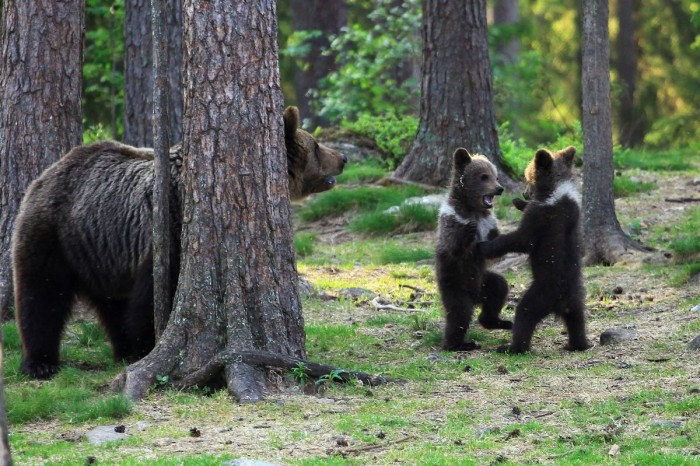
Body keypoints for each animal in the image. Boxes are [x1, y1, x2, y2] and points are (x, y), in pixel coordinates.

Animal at [12, 105, 346, 378]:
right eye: (317, 145)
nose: (343, 158)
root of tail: (48, 172)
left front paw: (138, 347)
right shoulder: (168, 232)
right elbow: (152, 296)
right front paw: (147, 345)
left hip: (101, 250)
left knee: (111, 303)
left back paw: (121, 349)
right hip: (55, 233)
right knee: (41, 294)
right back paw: (40, 362)